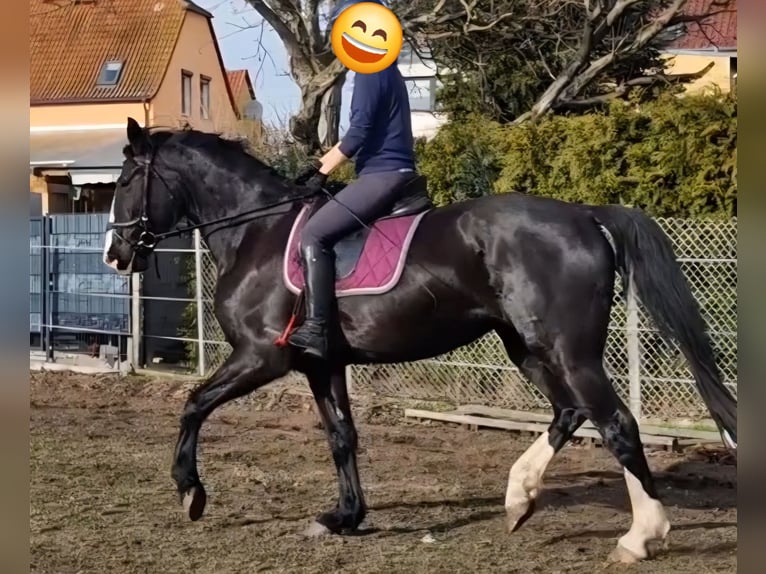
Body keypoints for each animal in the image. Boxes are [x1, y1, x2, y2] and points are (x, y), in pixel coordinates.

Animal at [103, 117, 736, 564]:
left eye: (127, 180)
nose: (115, 254)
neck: (257, 229)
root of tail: (583, 215)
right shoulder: (321, 364)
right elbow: (342, 438)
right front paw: (345, 516)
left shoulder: (263, 356)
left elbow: (193, 404)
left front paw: (190, 491)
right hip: (527, 347)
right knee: (570, 412)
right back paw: (519, 498)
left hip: (566, 349)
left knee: (616, 423)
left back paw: (640, 536)